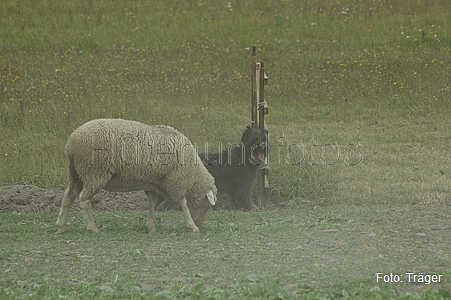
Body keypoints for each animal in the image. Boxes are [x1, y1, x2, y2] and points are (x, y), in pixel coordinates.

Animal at [55, 118, 218, 234]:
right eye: (207, 205)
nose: (199, 222)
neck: (194, 175)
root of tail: (70, 143)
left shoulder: (153, 181)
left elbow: (152, 203)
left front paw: (151, 227)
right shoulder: (176, 181)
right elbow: (183, 203)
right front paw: (192, 226)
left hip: (76, 174)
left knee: (68, 197)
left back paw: (61, 226)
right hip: (94, 173)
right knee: (84, 199)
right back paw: (92, 228)